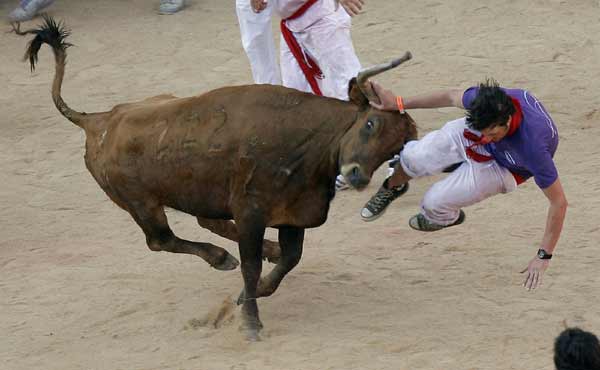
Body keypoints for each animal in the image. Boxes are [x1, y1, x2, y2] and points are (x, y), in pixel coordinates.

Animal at [21, 17, 420, 342]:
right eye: (370, 123)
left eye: (395, 148)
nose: (356, 175)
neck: (307, 142)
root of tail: (98, 120)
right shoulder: (251, 212)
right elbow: (251, 265)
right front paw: (250, 322)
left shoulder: (293, 214)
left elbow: (290, 259)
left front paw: (251, 293)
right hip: (141, 204)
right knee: (161, 240)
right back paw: (220, 258)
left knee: (204, 222)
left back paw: (254, 251)